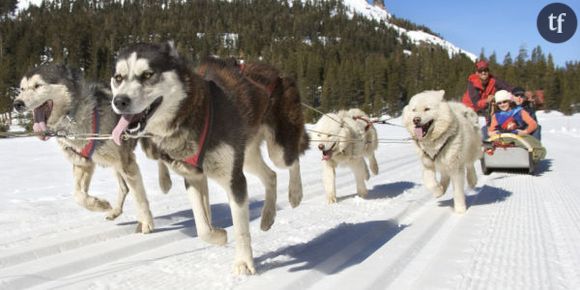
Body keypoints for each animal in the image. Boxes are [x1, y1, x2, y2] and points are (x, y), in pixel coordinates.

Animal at [12, 64, 171, 233]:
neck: (75, 115)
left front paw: (146, 222)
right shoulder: (83, 163)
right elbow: (78, 195)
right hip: (115, 164)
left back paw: (165, 181)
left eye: (38, 85)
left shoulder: (127, 162)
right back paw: (116, 211)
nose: (17, 103)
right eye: (22, 88)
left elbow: (139, 196)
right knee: (124, 188)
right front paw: (100, 204)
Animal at [196, 55, 308, 230]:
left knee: (293, 161)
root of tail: (280, 73)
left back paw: (295, 193)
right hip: (247, 157)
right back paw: (268, 216)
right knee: (271, 176)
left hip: (278, 151)